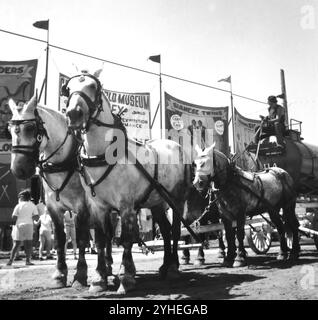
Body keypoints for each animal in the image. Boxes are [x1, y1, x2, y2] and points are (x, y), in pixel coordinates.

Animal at [7, 96, 115, 288]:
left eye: (30, 128)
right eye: (9, 130)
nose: (18, 170)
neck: (63, 161)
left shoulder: (82, 206)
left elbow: (81, 238)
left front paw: (80, 274)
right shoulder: (53, 208)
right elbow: (59, 239)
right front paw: (60, 273)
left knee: (107, 234)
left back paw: (107, 266)